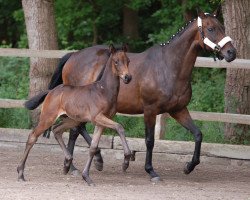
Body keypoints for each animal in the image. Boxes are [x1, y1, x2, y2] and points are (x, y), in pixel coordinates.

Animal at [17, 44, 132, 185]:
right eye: (116, 61)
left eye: (128, 61)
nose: (127, 77)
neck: (103, 90)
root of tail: (51, 91)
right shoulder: (98, 117)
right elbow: (119, 127)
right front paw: (126, 161)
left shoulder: (101, 122)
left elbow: (93, 147)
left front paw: (87, 177)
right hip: (48, 118)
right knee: (33, 136)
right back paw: (21, 173)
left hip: (72, 120)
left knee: (57, 130)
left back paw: (67, 163)